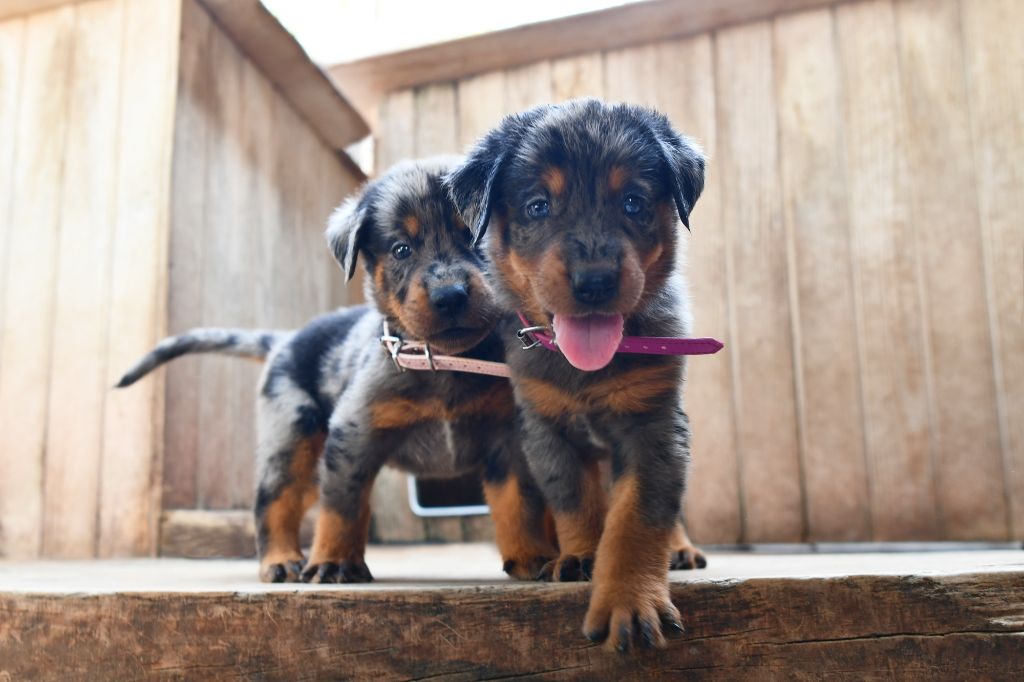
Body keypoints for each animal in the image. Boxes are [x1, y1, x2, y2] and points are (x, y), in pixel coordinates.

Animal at [118, 157, 556, 583]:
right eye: (401, 249)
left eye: (474, 237)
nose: (450, 296)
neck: (442, 361)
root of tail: (285, 339)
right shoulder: (354, 433)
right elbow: (342, 506)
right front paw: (333, 562)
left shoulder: (507, 438)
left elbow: (519, 501)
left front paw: (531, 557)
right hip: (290, 438)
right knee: (273, 502)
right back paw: (280, 561)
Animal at [446, 99, 707, 651]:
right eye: (537, 206)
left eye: (633, 202)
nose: (595, 282)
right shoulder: (547, 428)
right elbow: (575, 500)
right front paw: (582, 557)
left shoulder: (654, 426)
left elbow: (639, 517)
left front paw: (630, 601)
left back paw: (680, 550)